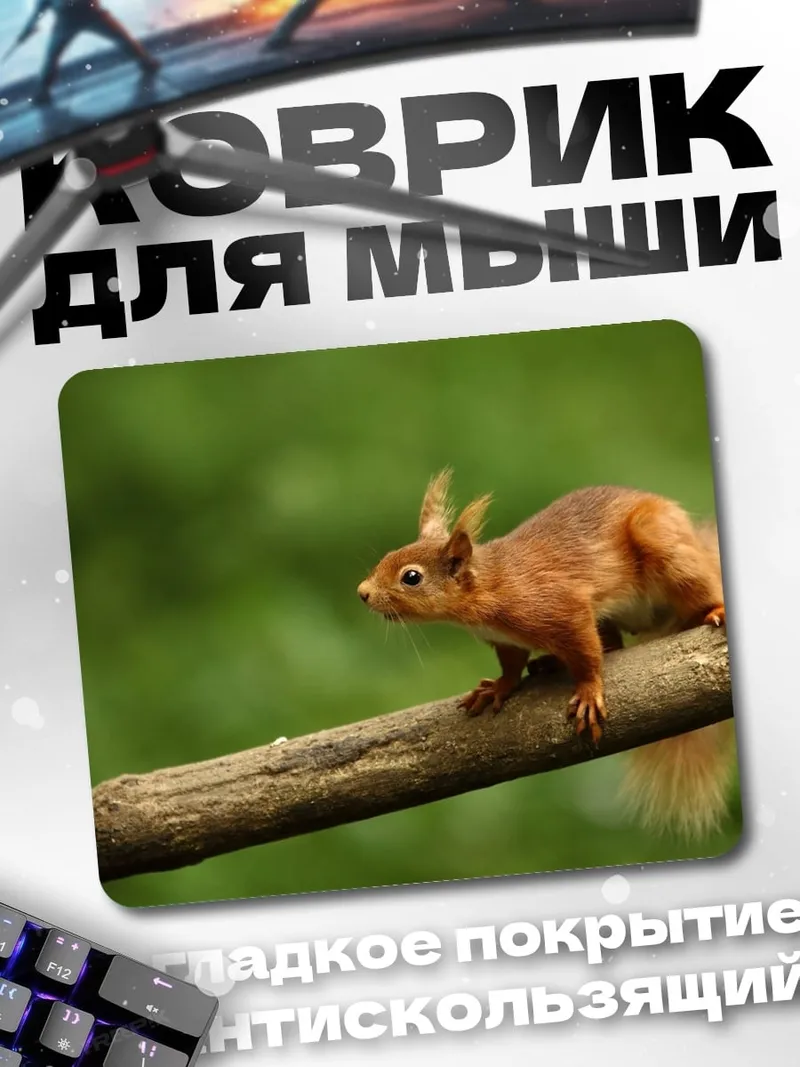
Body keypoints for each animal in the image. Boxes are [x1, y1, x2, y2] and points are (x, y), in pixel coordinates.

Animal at [357, 469, 735, 838]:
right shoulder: (506, 640)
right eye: (387, 557)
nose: (362, 593)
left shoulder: (563, 608)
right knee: (613, 642)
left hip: (663, 546)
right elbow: (512, 666)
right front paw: (498, 687)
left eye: (411, 577)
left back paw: (715, 611)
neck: (491, 587)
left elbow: (587, 655)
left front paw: (588, 691)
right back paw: (550, 663)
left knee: (693, 592)